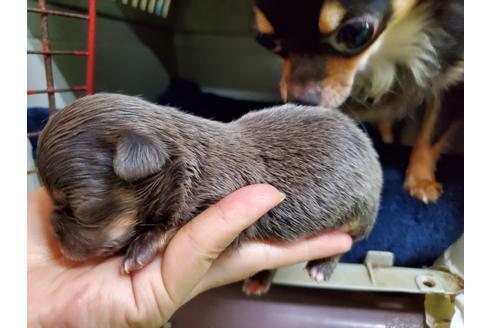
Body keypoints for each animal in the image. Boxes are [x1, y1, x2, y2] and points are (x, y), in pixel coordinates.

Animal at [37, 92, 384, 294]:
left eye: (78, 208)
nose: (55, 237)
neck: (186, 161)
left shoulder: (216, 196)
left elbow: (172, 224)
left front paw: (140, 249)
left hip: (357, 215)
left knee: (343, 244)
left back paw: (321, 269)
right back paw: (258, 280)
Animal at [254, 0, 466, 202]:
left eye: (354, 32)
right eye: (267, 41)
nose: (300, 100)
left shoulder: (454, 84)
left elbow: (432, 134)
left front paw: (420, 181)